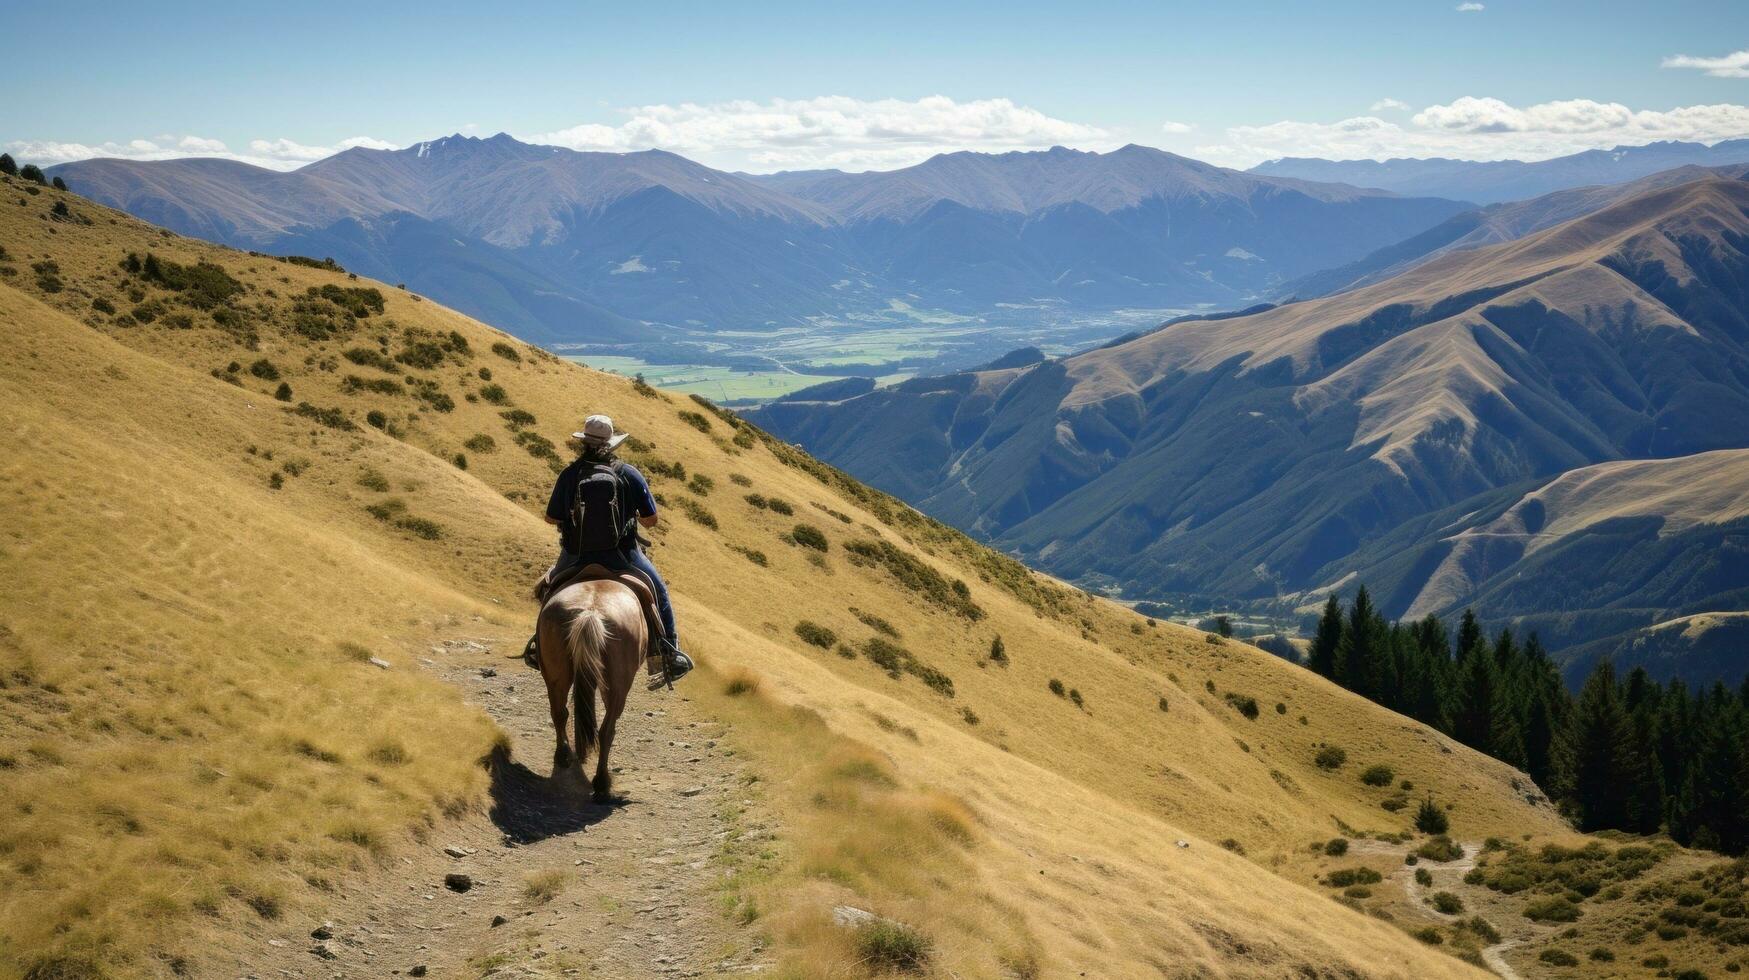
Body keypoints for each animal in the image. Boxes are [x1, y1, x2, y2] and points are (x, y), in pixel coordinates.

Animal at [531, 581, 650, 798]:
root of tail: (590, 612)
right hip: (618, 687)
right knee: (607, 731)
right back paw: (602, 783)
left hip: (556, 673)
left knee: (559, 713)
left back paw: (563, 755)